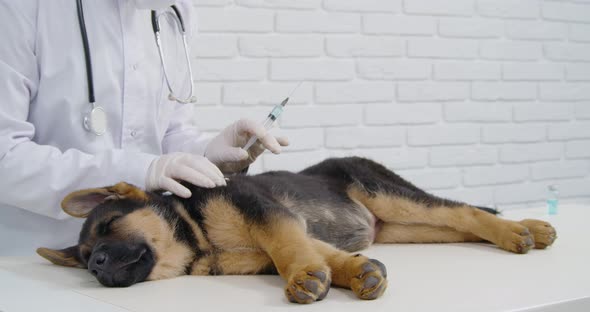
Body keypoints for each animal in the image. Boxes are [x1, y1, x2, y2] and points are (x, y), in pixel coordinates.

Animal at [38, 157, 560, 304]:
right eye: (84, 261)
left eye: (109, 225)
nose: (97, 265)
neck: (197, 236)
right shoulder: (268, 245)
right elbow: (316, 251)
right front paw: (353, 272)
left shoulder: (264, 213)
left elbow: (287, 246)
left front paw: (303, 279)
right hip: (402, 227)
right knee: (457, 225)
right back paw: (525, 228)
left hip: (383, 193)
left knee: (463, 212)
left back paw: (519, 231)